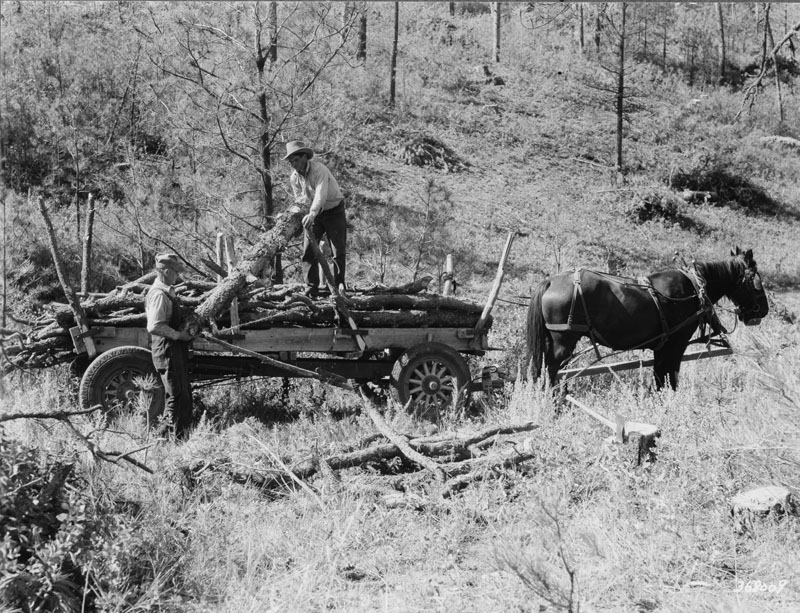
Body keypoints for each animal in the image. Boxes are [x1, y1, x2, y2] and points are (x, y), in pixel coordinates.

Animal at [524, 247, 768, 388]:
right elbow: (669, 379)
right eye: (755, 279)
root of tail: (551, 281)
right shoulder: (675, 345)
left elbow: (659, 378)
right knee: (549, 372)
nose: (763, 310)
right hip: (562, 344)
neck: (695, 287)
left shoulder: (661, 348)